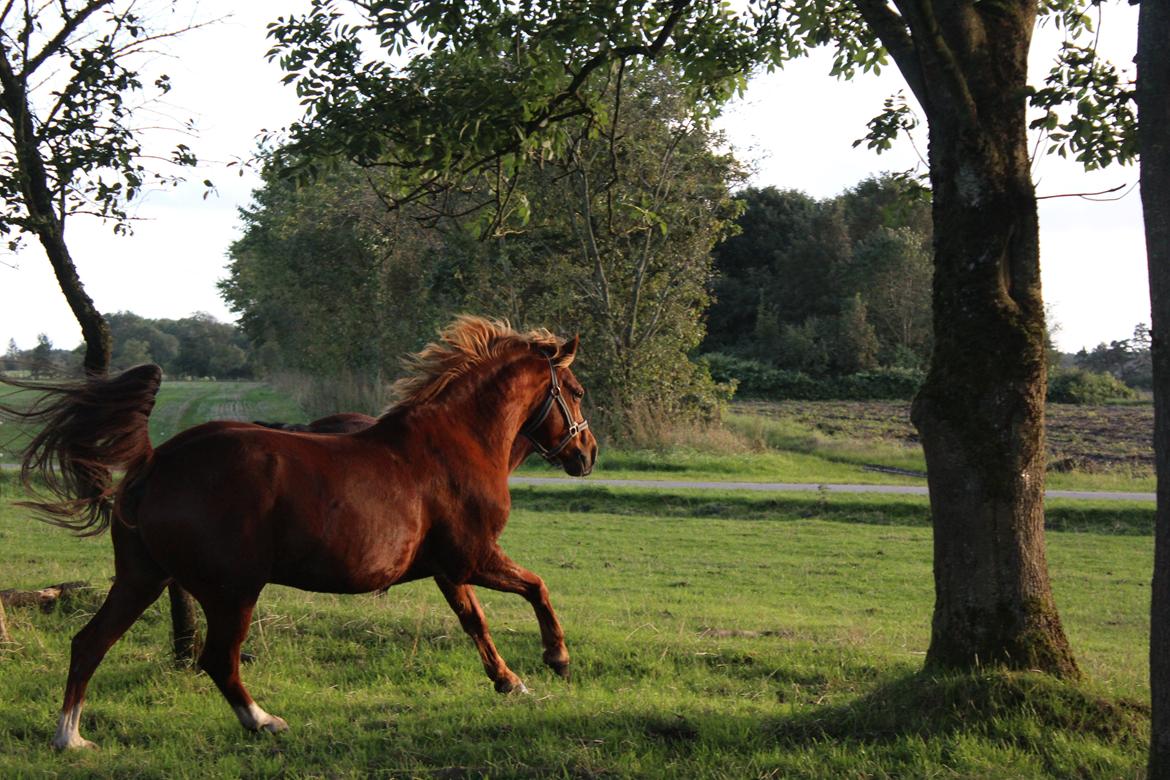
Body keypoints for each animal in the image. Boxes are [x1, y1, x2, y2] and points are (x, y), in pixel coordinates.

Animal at [6, 318, 594, 748]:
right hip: (231, 591)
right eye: (577, 391)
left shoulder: (448, 569)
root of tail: (155, 462)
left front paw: (509, 681)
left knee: (90, 643)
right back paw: (263, 721)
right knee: (217, 659)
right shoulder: (474, 557)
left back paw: (70, 738)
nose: (587, 455)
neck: (454, 442)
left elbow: (476, 624)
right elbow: (536, 587)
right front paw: (556, 659)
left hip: (142, 578)